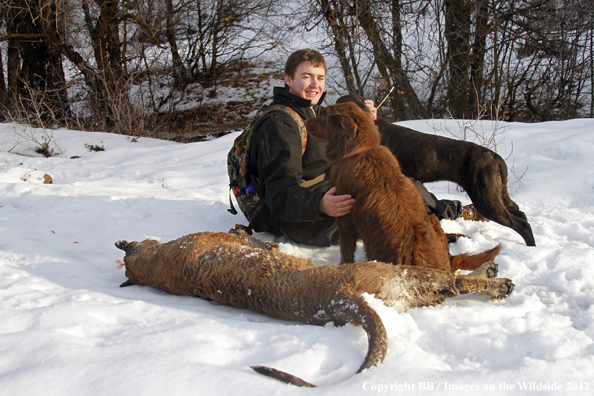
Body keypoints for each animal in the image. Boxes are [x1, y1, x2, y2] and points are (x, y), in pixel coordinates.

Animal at [117, 229, 512, 386]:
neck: (156, 263)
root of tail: (339, 302)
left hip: (406, 291)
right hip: (397, 272)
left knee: (445, 290)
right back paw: (497, 282)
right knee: (454, 282)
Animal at [306, 103, 500, 272]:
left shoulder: (344, 217)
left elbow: (346, 252)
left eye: (323, 115)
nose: (306, 121)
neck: (360, 150)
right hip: (433, 221)